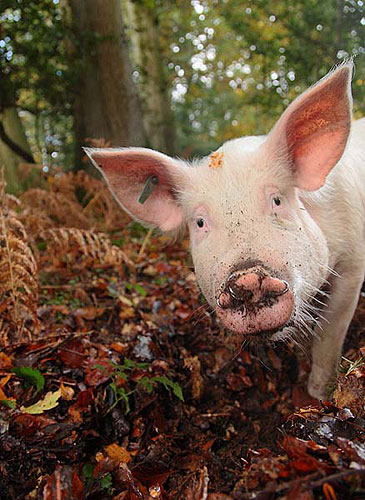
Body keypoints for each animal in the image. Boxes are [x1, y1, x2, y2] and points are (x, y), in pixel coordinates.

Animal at [84, 62, 364, 398]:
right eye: (200, 222)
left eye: (277, 200)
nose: (248, 278)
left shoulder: (353, 266)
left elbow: (328, 337)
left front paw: (318, 396)